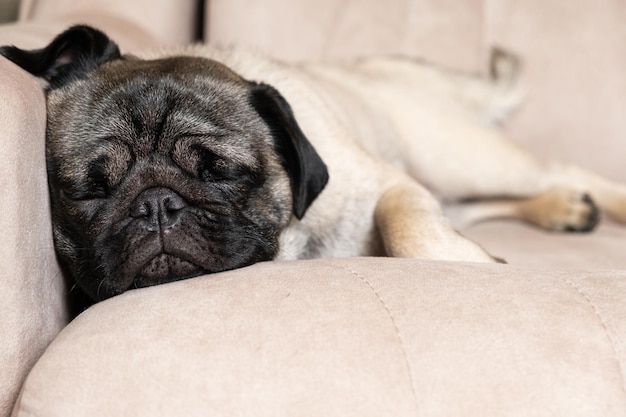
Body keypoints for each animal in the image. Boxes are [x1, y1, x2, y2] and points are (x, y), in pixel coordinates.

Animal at [1, 25, 624, 306]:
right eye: (88, 191)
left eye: (221, 172)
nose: (156, 204)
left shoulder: (391, 187)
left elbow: (411, 232)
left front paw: (469, 264)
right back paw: (564, 210)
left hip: (458, 157)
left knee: (558, 169)